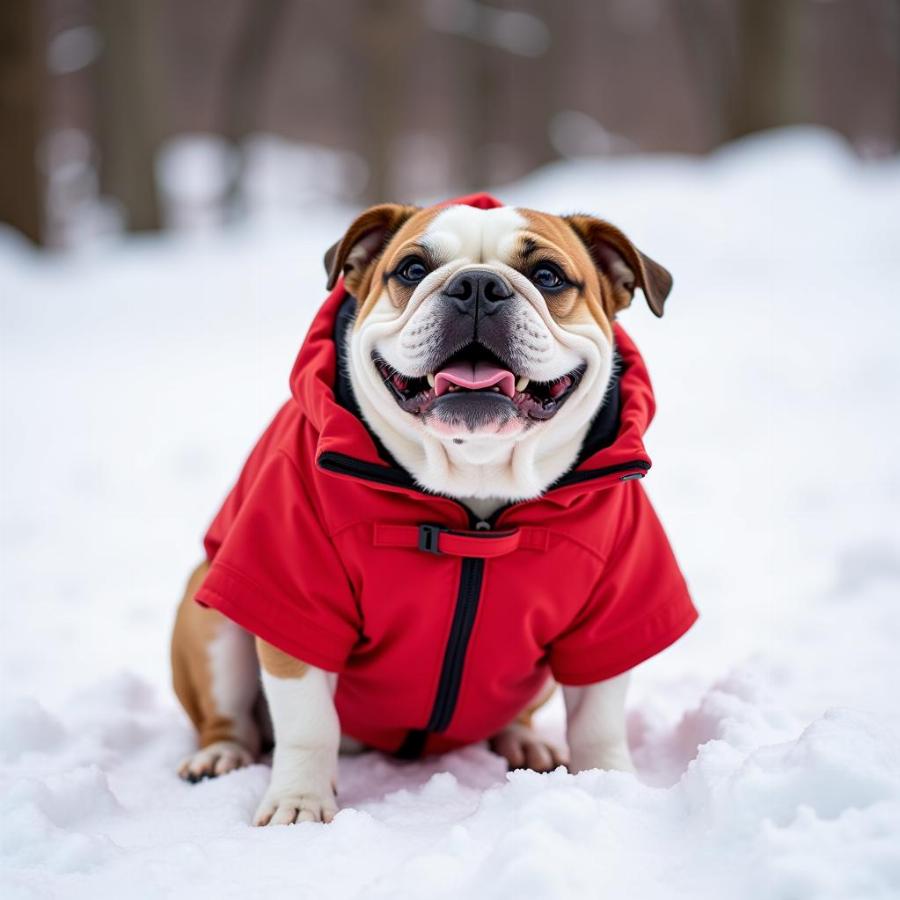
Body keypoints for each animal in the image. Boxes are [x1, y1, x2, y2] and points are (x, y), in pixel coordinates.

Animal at [172, 193, 700, 828]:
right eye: (412, 269)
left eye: (548, 276)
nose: (476, 286)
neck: (475, 493)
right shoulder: (288, 592)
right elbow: (306, 720)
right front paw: (300, 800)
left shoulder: (614, 608)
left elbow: (598, 715)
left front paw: (609, 785)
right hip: (211, 610)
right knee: (230, 717)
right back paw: (220, 755)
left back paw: (525, 742)